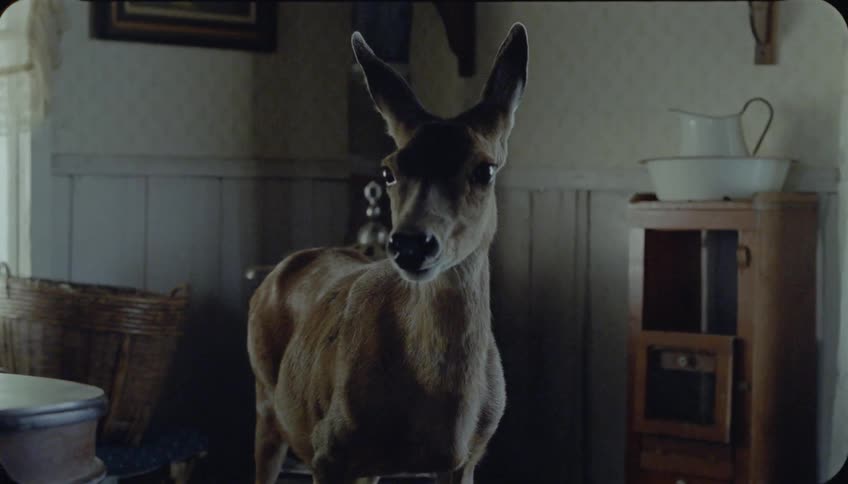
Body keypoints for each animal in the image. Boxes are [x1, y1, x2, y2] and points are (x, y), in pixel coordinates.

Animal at [247, 22, 529, 484]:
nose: (411, 243)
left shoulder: (468, 458)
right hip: (267, 399)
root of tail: (281, 265)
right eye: (388, 170)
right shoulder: (329, 450)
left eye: (485, 169)